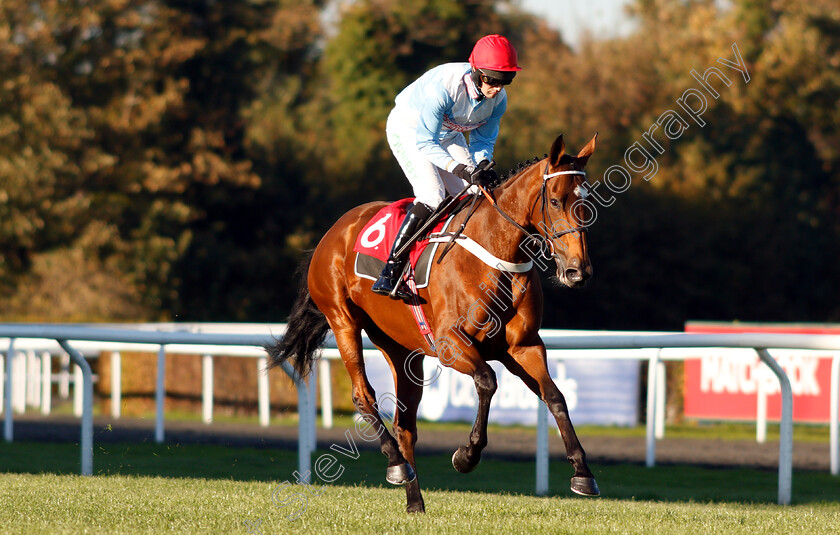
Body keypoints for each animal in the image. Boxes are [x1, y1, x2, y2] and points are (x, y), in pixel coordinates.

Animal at [266, 132, 600, 512]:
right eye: (555, 201)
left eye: (588, 200)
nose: (577, 271)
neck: (497, 253)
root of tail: (334, 231)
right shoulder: (450, 345)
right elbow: (487, 381)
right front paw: (466, 455)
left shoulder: (523, 346)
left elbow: (555, 396)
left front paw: (583, 473)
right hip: (342, 320)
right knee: (363, 395)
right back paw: (397, 465)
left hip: (399, 347)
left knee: (405, 422)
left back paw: (414, 500)